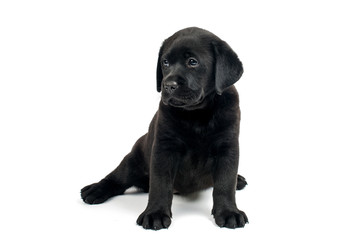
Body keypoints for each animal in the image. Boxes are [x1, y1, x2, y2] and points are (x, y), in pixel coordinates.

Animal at [81, 27, 249, 230]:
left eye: (192, 62)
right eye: (165, 62)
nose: (168, 85)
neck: (197, 114)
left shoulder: (227, 148)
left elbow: (225, 183)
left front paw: (228, 212)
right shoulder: (164, 148)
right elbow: (160, 185)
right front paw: (156, 213)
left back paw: (239, 180)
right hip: (134, 158)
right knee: (117, 178)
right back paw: (96, 189)